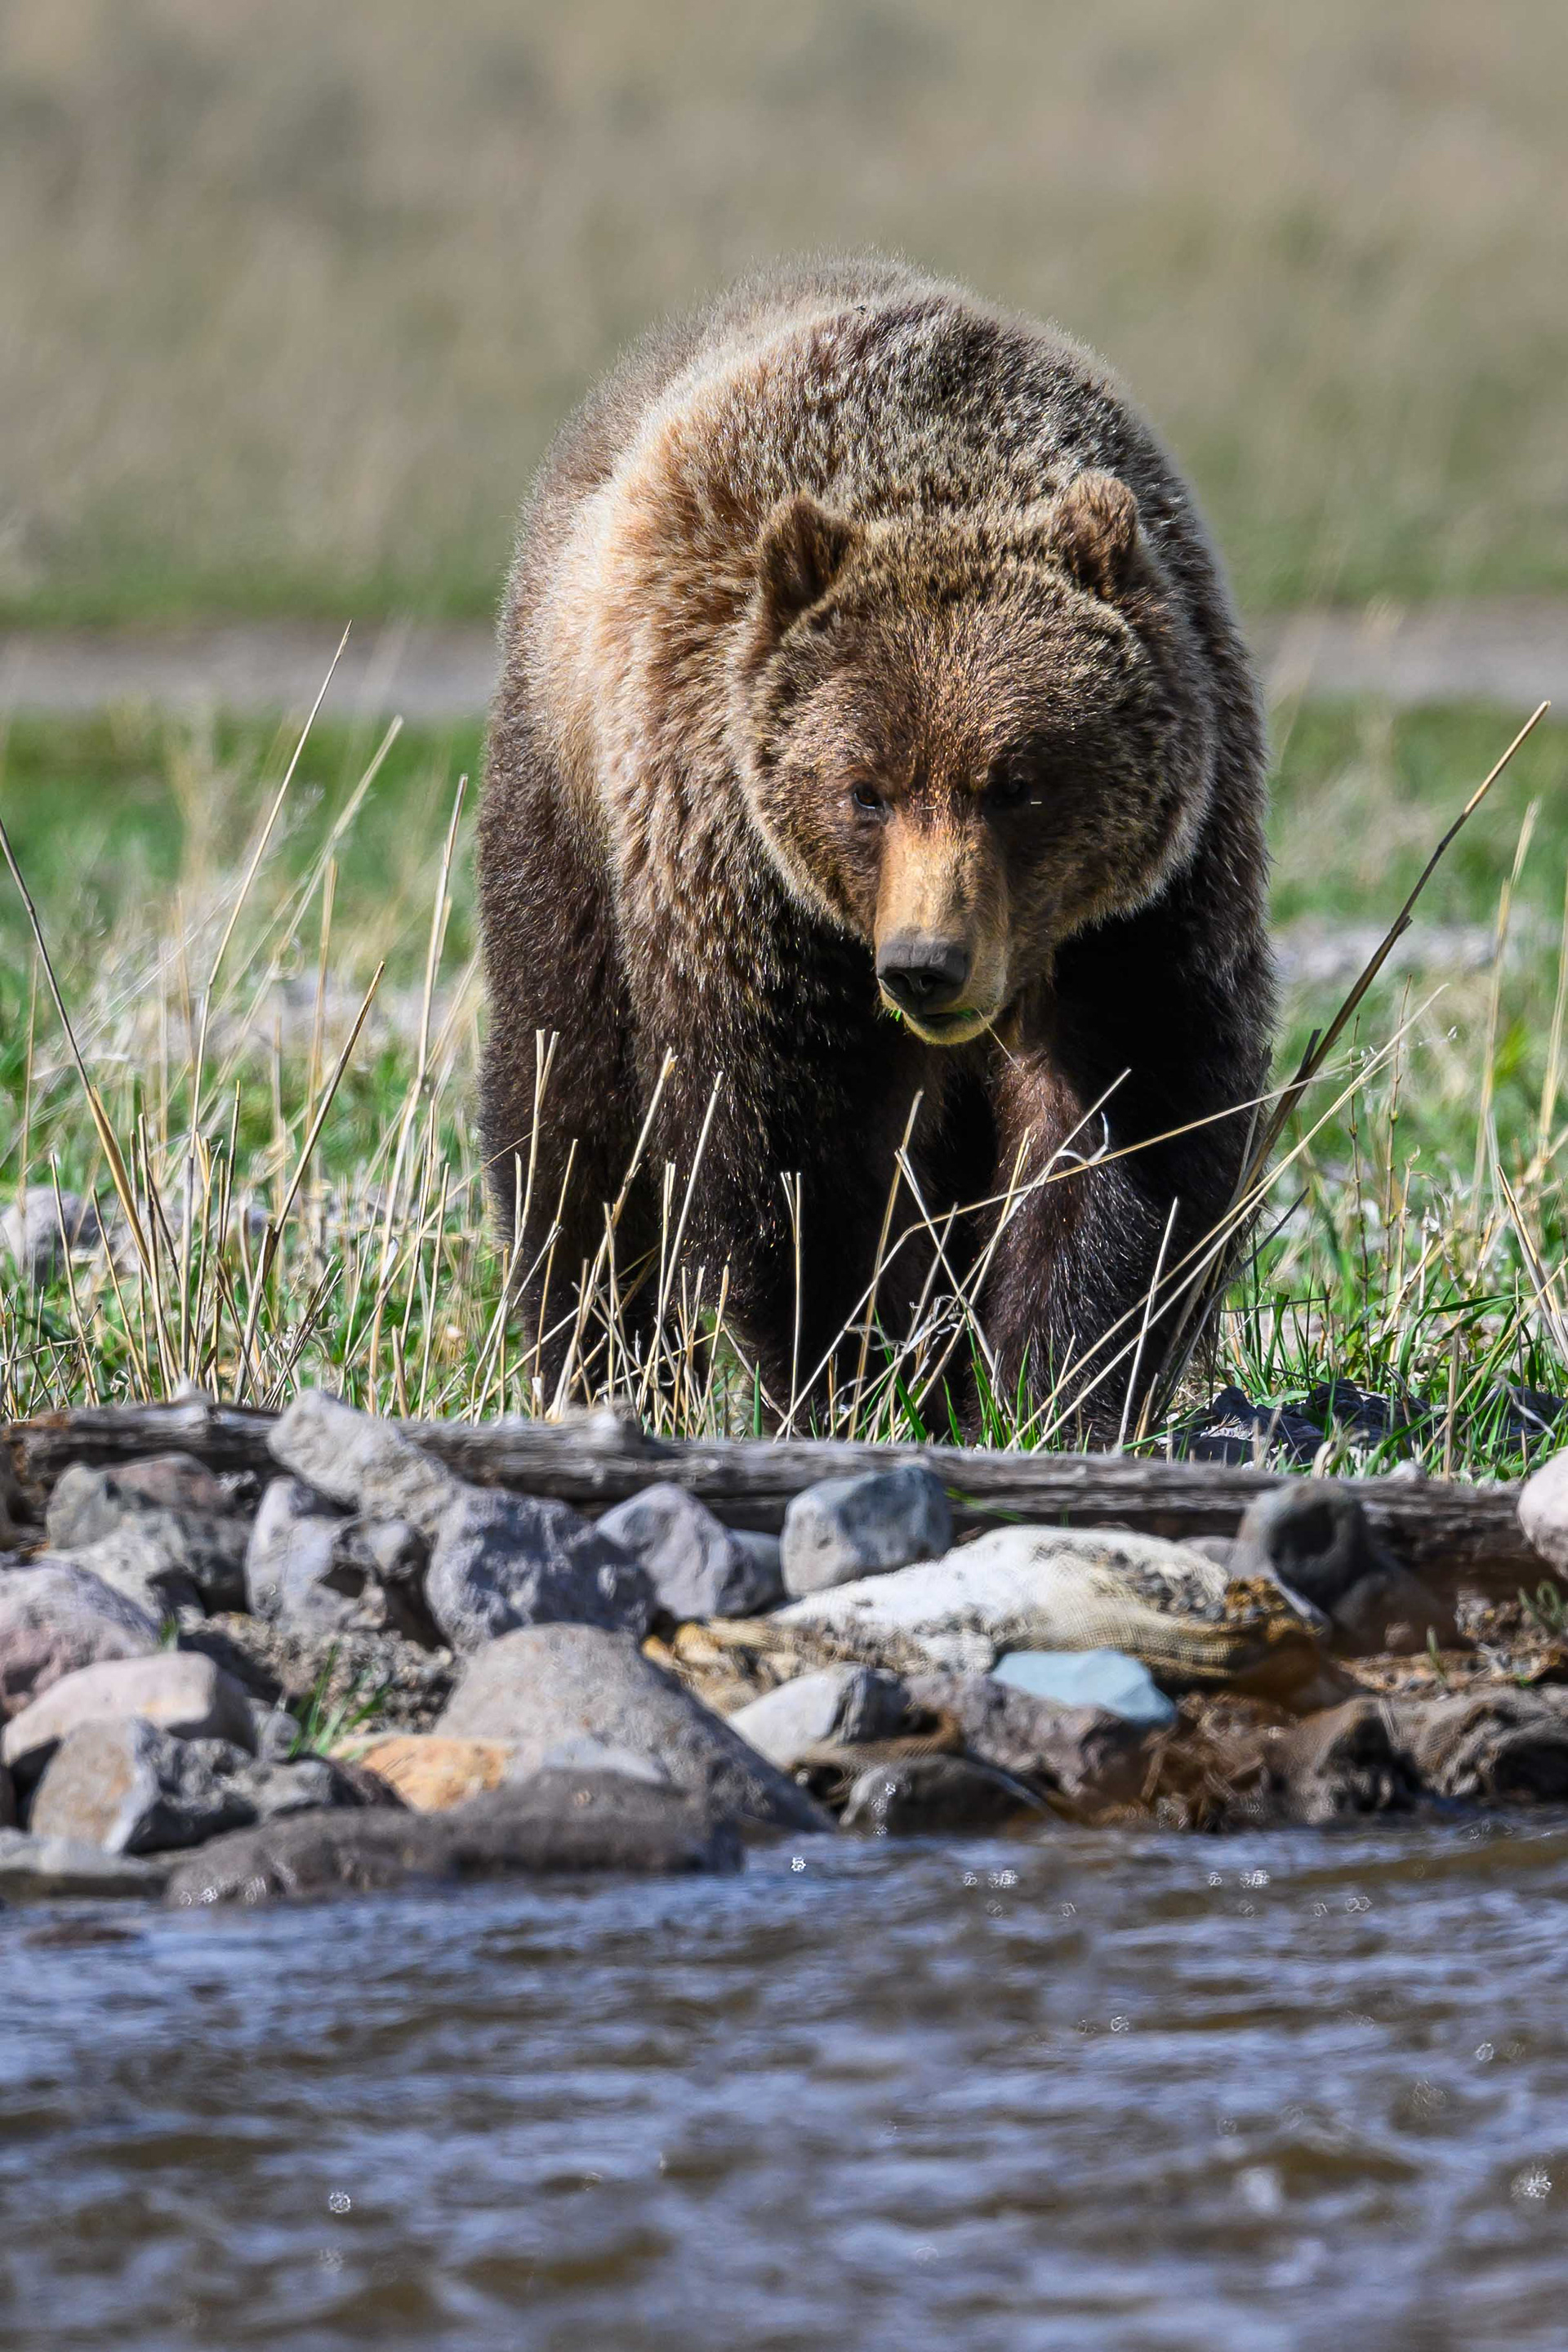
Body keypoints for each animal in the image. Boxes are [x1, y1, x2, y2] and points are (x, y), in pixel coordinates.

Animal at [478, 255, 1274, 1435]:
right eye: (864, 791)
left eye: (1018, 784)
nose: (924, 965)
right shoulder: (753, 888)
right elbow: (796, 1158)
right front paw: (853, 1379)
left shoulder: (1143, 909)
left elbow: (1128, 1126)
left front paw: (1058, 1381)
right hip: (572, 809)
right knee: (572, 1100)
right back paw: (602, 1360)